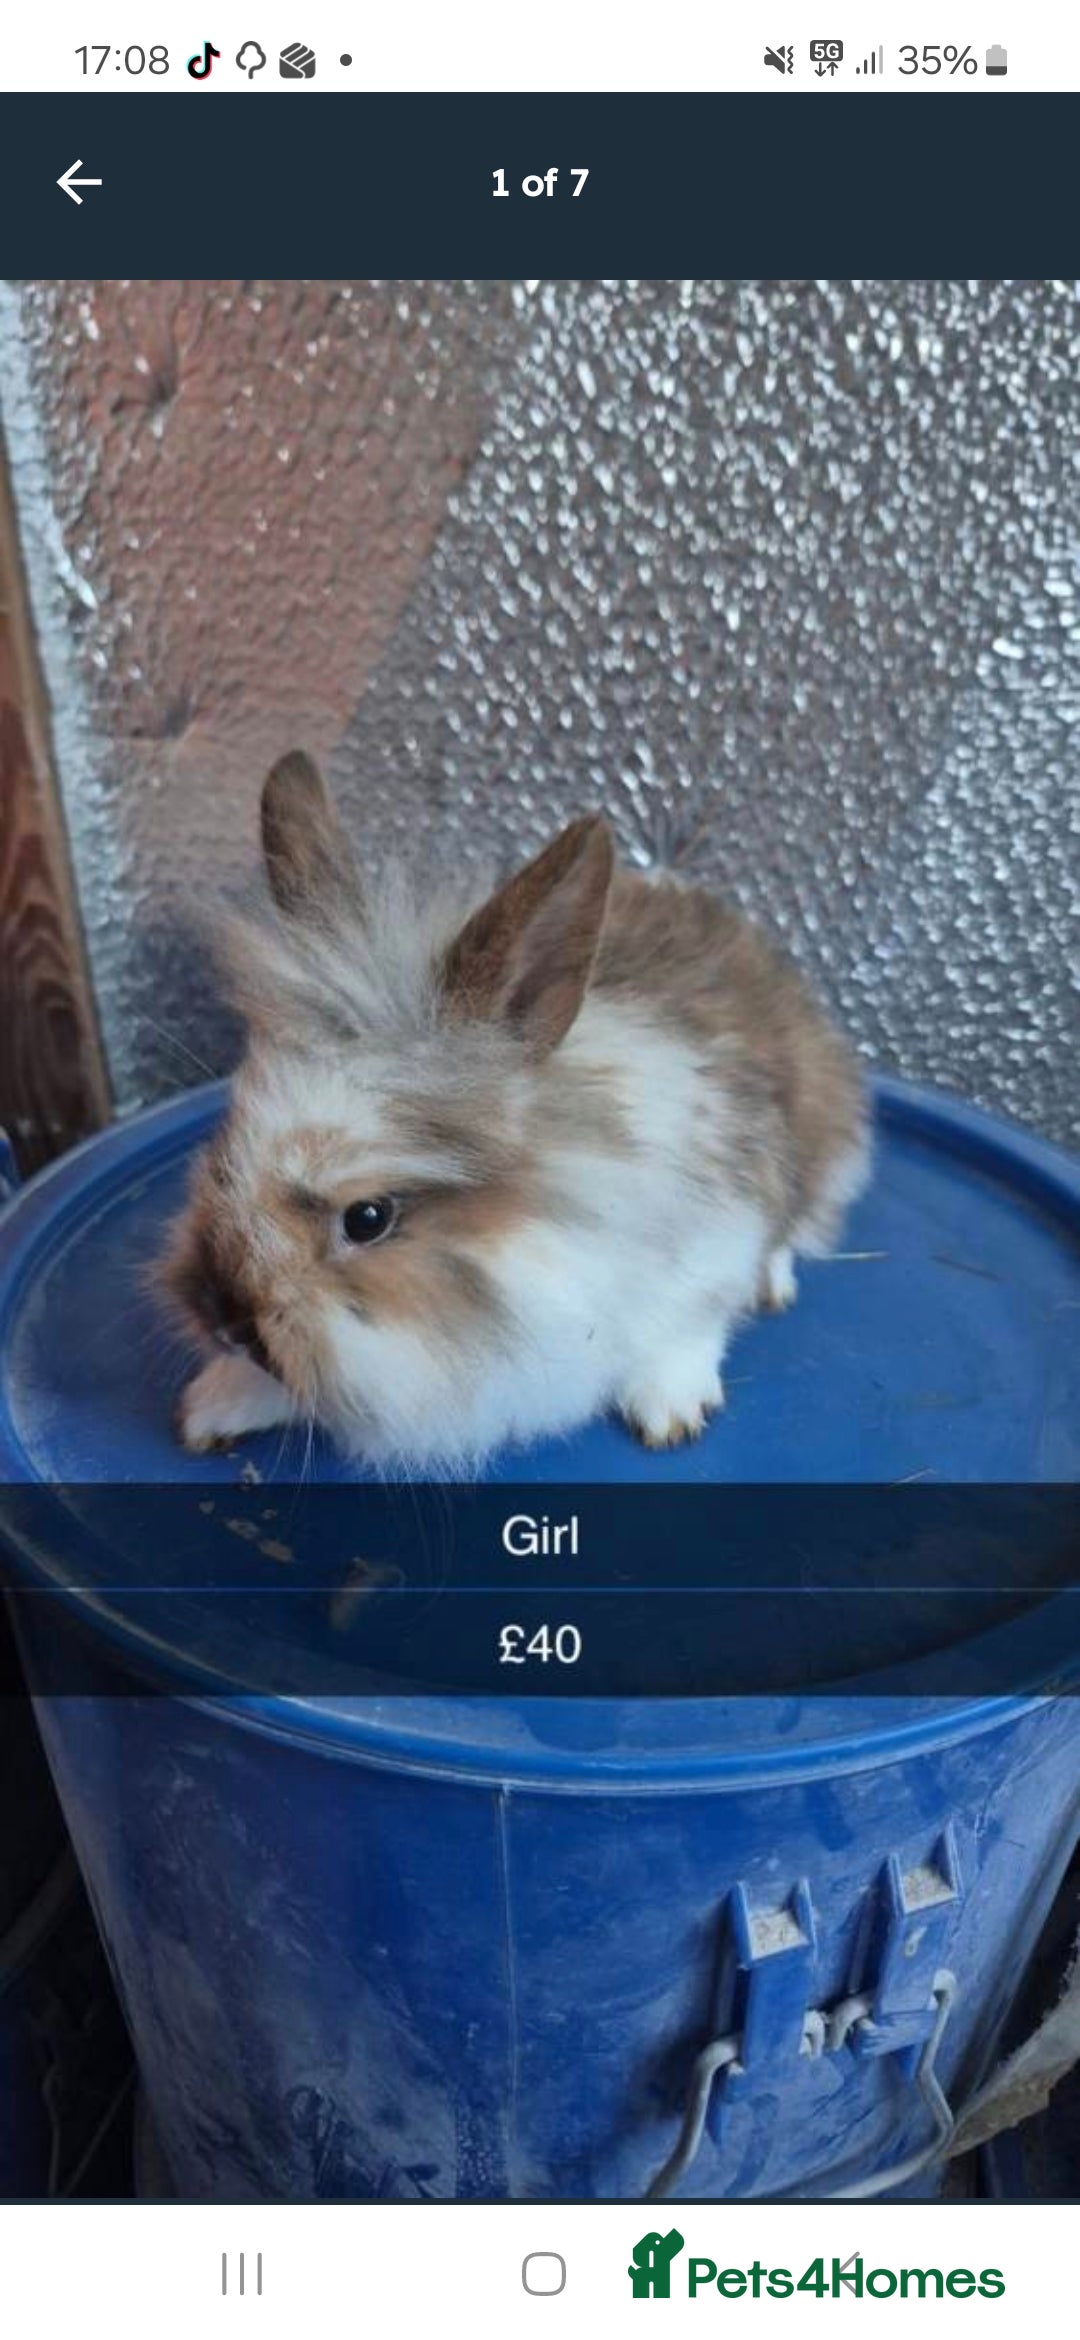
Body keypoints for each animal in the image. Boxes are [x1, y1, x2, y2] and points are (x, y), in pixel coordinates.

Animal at [162, 752, 868, 1470]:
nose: (222, 1316)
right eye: (223, 1150)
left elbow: (691, 1325)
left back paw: (773, 1286)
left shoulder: (715, 1243)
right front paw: (215, 1404)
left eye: (368, 1218)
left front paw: (672, 1408)